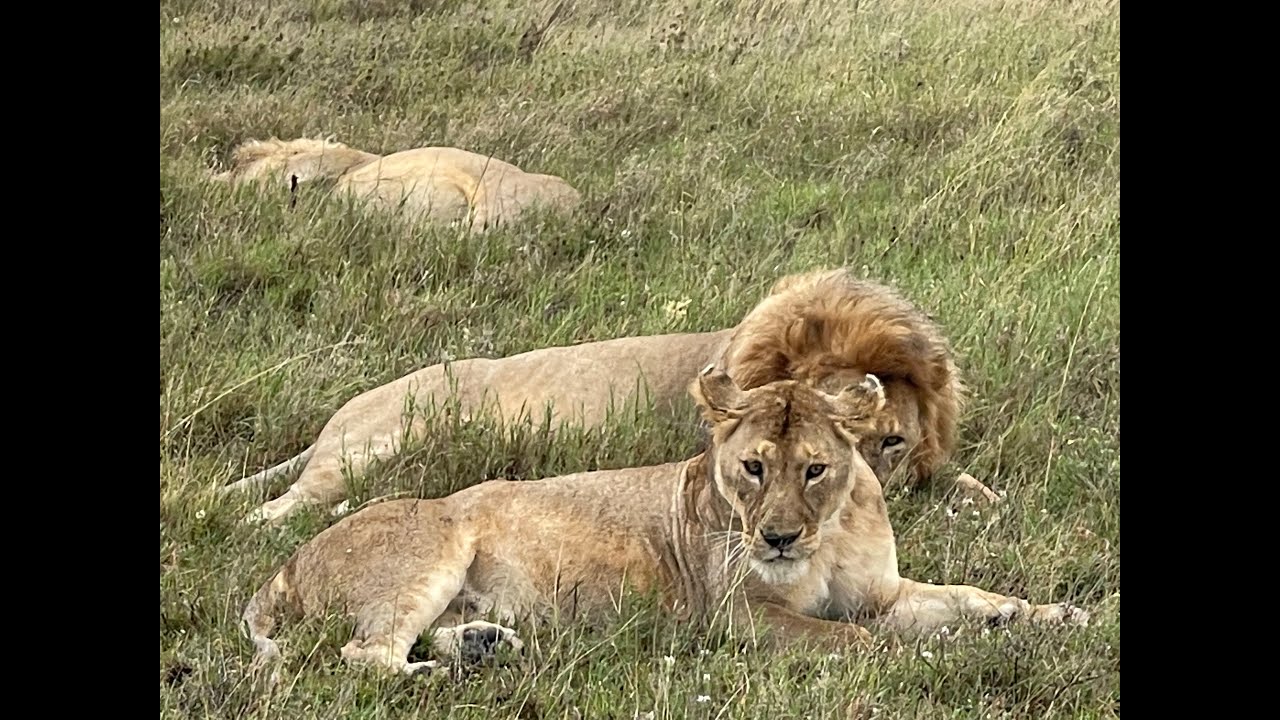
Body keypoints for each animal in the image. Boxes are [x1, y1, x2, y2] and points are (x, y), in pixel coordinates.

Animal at [223, 268, 968, 525]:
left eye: (892, 441)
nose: (859, 499)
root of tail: (333, 418)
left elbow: (967, 484)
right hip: (367, 447)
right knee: (267, 512)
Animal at [242, 369, 1084, 680]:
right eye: (752, 468)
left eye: (814, 468)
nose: (777, 538)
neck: (829, 532)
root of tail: (289, 560)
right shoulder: (739, 618)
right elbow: (858, 642)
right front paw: (937, 658)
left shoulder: (882, 591)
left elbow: (965, 595)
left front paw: (1041, 616)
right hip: (437, 541)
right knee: (366, 654)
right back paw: (442, 678)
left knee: (426, 633)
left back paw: (485, 647)